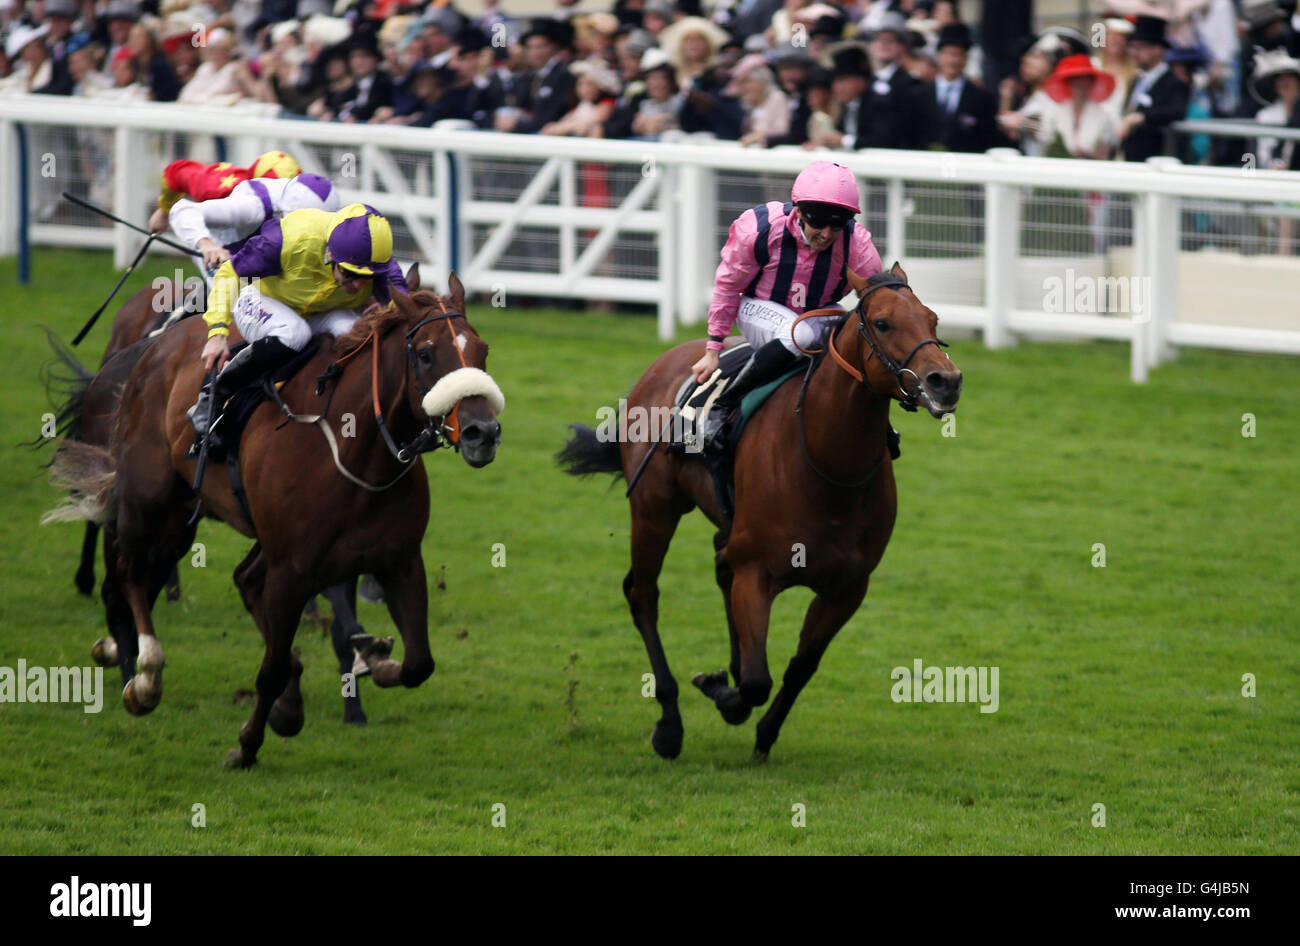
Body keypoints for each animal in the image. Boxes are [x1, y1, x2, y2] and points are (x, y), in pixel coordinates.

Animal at [45, 272, 501, 769]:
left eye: (482, 350)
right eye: (426, 354)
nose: (482, 432)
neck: (355, 449)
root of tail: (152, 348)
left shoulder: (399, 560)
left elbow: (419, 663)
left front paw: (374, 664)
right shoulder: (292, 571)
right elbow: (273, 666)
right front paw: (246, 745)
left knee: (233, 578)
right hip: (151, 502)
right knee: (128, 575)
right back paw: (143, 674)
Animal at [553, 263, 961, 758]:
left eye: (933, 319)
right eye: (883, 323)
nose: (946, 381)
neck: (827, 467)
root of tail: (662, 364)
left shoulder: (847, 588)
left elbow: (798, 667)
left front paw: (762, 730)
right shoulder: (757, 573)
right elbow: (755, 679)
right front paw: (722, 694)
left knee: (717, 565)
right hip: (654, 510)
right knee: (643, 593)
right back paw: (669, 725)